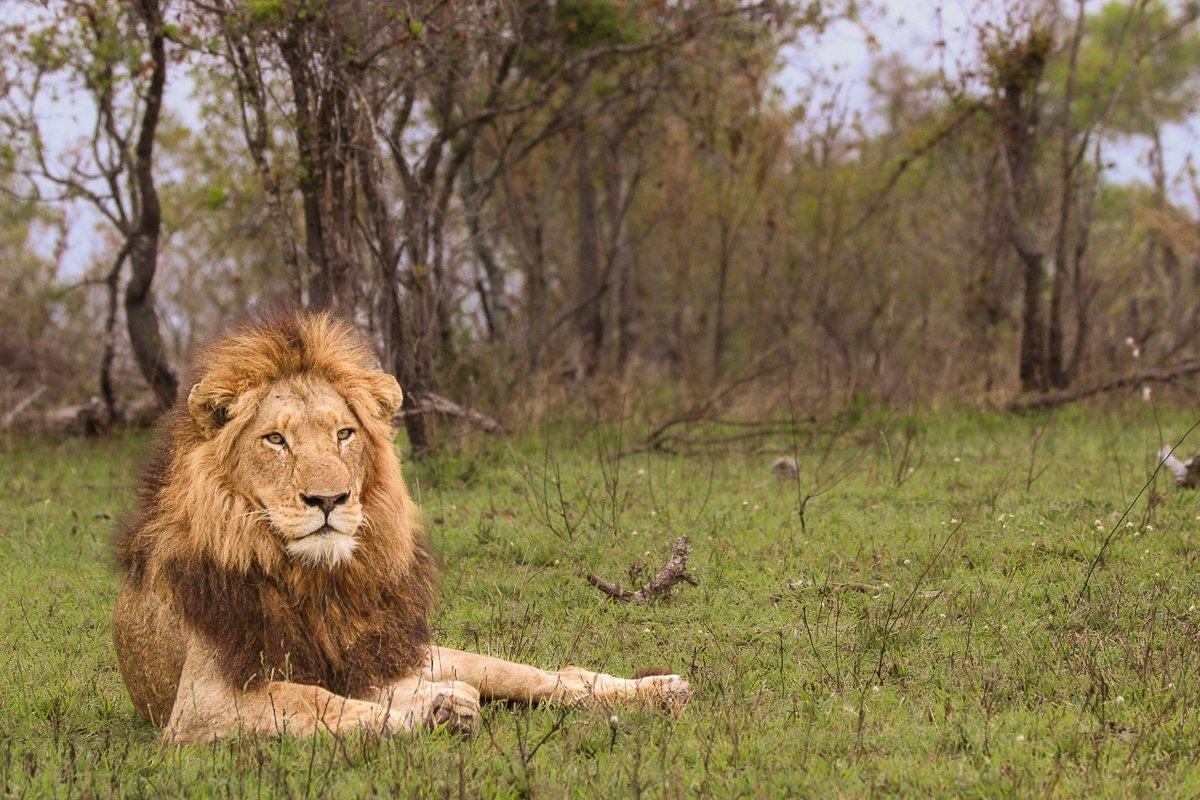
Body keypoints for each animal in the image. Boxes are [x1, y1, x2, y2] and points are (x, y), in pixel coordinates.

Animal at [112, 312, 690, 743]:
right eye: (275, 439)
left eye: (344, 434)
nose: (329, 499)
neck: (315, 579)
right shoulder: (198, 706)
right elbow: (311, 700)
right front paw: (432, 712)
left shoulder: (369, 661)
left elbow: (323, 698)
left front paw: (434, 709)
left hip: (438, 654)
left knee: (554, 678)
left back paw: (660, 689)